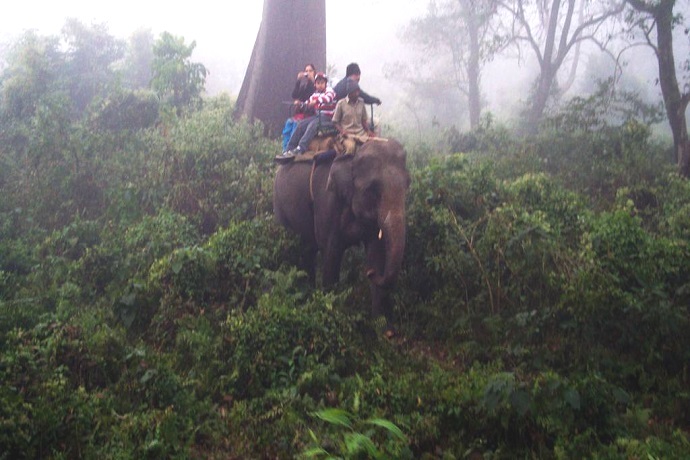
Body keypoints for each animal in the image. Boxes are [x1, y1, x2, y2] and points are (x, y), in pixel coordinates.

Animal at [272, 137, 408, 334]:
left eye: (408, 185)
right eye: (373, 189)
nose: (369, 273)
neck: (353, 154)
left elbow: (376, 253)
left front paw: (383, 331)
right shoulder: (326, 200)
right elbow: (331, 253)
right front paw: (331, 314)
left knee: (307, 250)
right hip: (278, 204)